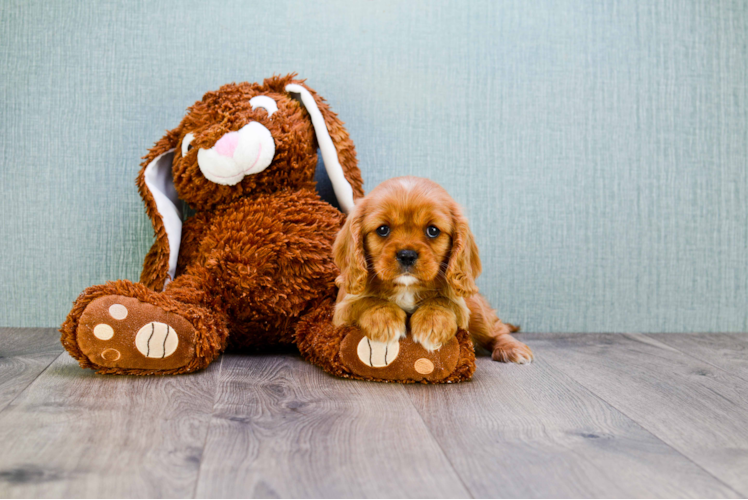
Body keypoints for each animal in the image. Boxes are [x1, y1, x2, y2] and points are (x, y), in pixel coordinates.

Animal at [332, 176, 532, 364]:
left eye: (433, 230)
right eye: (382, 229)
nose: (407, 255)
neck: (406, 288)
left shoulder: (461, 307)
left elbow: (442, 300)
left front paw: (432, 324)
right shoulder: (342, 309)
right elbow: (368, 300)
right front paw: (384, 320)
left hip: (477, 312)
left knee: (496, 329)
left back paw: (512, 349)